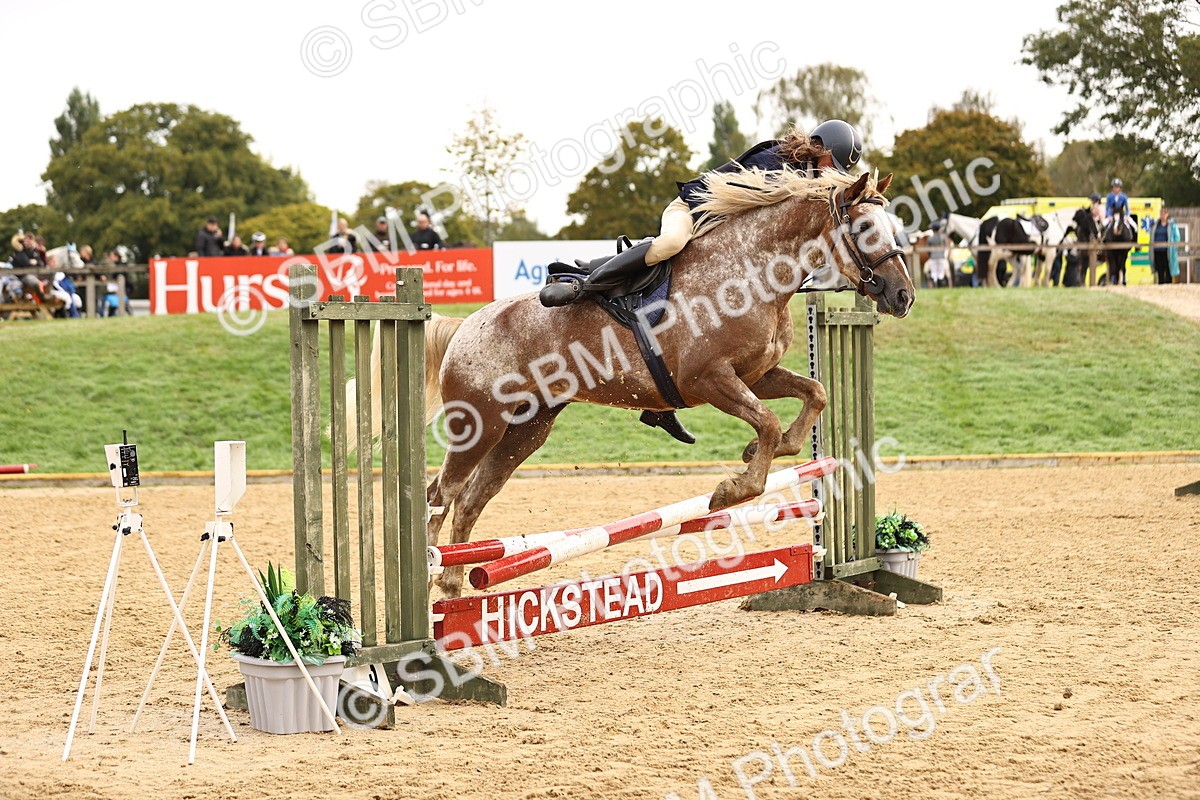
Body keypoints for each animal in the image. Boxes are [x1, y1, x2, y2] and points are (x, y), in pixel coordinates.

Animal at [400, 169, 914, 597]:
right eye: (865, 229)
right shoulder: (710, 379)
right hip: (480, 424)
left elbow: (813, 396)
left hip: (526, 430)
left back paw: (451, 583)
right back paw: (429, 579)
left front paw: (763, 452)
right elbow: (766, 422)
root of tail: (465, 326)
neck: (752, 274)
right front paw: (733, 487)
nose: (903, 296)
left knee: (470, 499)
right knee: (439, 497)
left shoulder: (757, 375)